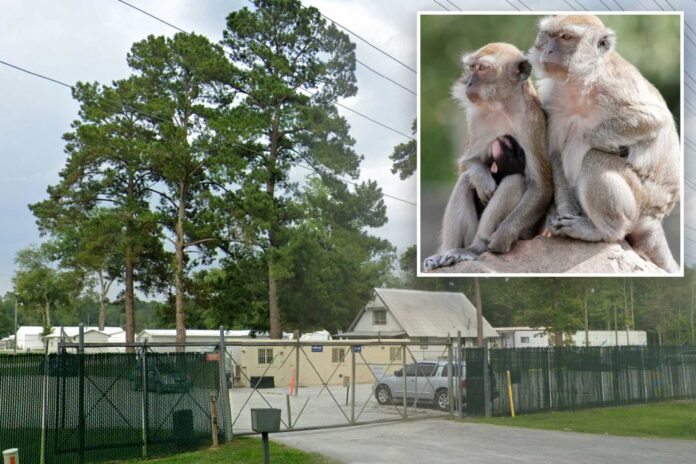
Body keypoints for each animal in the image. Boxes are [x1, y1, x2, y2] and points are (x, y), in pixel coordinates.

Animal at [422, 42, 552, 272]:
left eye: (482, 68)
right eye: (472, 67)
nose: (469, 83)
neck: (504, 107)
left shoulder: (532, 123)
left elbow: (541, 186)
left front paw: (502, 237)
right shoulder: (477, 118)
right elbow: (467, 165)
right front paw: (482, 178)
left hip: (526, 233)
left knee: (515, 181)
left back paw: (477, 247)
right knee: (465, 181)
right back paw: (448, 251)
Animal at [532, 14, 676, 272]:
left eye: (566, 37)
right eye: (549, 35)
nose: (548, 50)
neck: (579, 84)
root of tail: (656, 217)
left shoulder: (614, 86)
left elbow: (655, 118)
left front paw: (602, 141)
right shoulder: (551, 100)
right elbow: (554, 153)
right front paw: (562, 213)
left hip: (641, 202)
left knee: (595, 158)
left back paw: (604, 231)